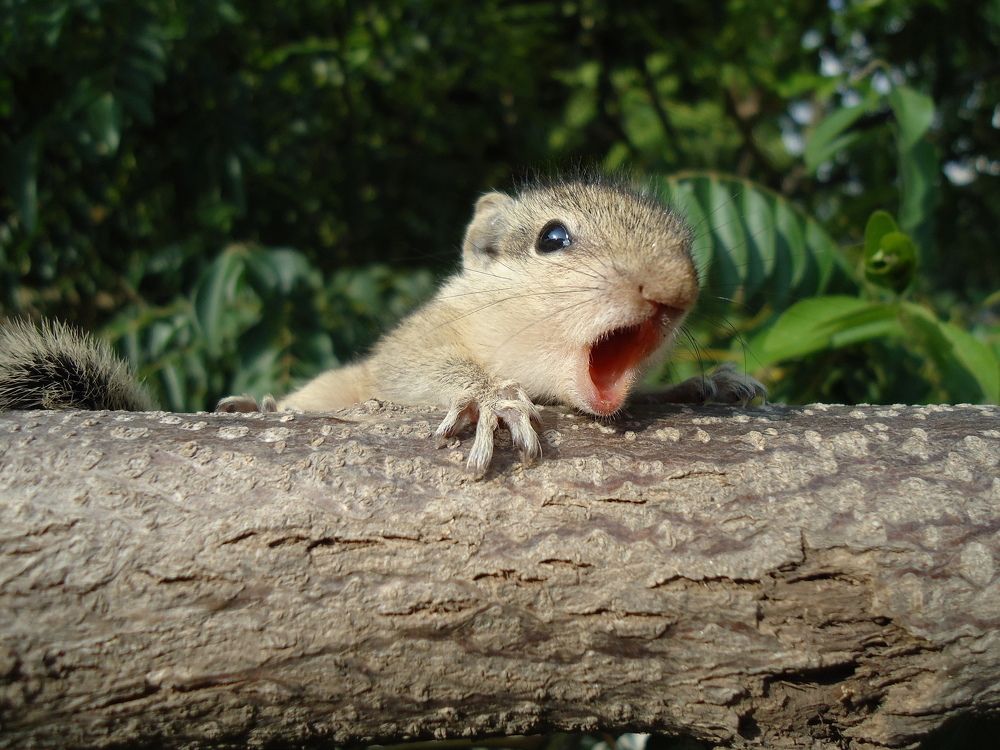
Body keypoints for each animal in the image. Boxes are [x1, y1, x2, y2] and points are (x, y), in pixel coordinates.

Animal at [1, 176, 764, 476]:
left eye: (689, 246)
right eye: (553, 238)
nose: (676, 289)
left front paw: (707, 384)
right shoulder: (412, 342)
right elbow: (414, 372)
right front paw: (492, 399)